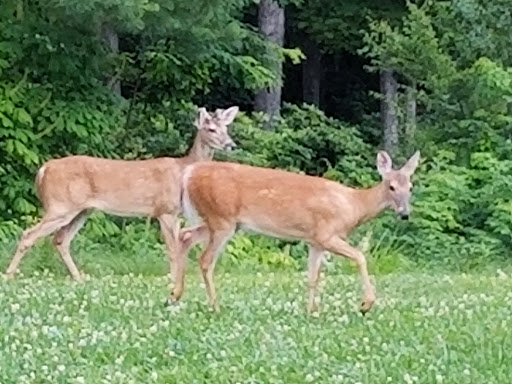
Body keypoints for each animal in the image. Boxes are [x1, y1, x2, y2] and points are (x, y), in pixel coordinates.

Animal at [4, 106, 240, 304]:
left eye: (226, 127)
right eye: (210, 128)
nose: (231, 144)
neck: (183, 170)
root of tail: (43, 170)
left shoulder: (176, 214)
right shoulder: (164, 210)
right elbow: (172, 249)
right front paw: (172, 283)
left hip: (82, 210)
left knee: (60, 240)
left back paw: (79, 278)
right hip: (60, 205)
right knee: (29, 234)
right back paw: (8, 276)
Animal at [176, 150, 420, 316]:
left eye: (410, 188)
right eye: (391, 187)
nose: (405, 213)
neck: (354, 205)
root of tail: (189, 174)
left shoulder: (315, 242)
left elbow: (312, 277)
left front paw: (311, 311)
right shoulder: (326, 234)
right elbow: (360, 256)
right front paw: (366, 304)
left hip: (222, 222)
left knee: (185, 235)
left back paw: (175, 294)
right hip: (222, 218)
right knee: (205, 260)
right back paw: (214, 306)